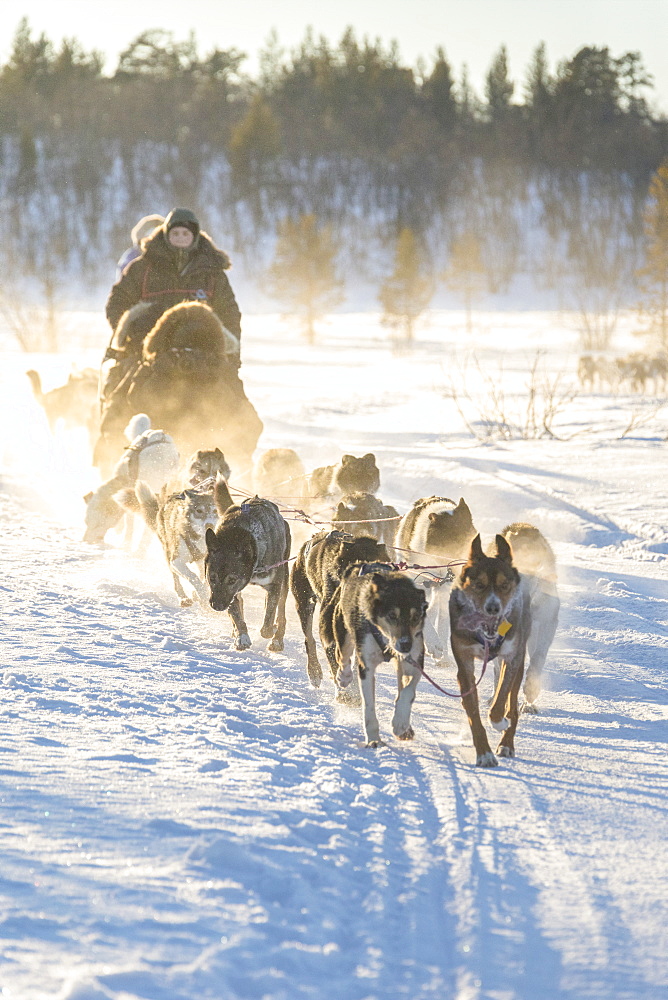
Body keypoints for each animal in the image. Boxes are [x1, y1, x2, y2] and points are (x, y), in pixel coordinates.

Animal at [202, 496, 288, 652]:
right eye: (212, 577)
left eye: (232, 580)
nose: (216, 605)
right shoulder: (232, 594)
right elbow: (236, 614)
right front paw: (241, 636)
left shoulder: (274, 585)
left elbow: (268, 621)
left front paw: (271, 628)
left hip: (284, 579)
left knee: (281, 612)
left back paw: (277, 640)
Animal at [320, 568, 426, 748]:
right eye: (392, 615)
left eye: (415, 617)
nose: (406, 645)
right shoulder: (366, 666)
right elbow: (369, 707)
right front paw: (374, 739)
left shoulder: (414, 661)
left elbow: (408, 692)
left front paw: (400, 723)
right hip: (344, 634)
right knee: (342, 657)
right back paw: (343, 677)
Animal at [448, 536, 532, 768]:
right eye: (479, 585)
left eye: (504, 585)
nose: (493, 608)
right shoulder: (464, 663)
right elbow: (472, 711)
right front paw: (483, 753)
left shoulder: (511, 658)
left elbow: (500, 700)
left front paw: (498, 722)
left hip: (519, 661)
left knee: (512, 705)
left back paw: (506, 743)